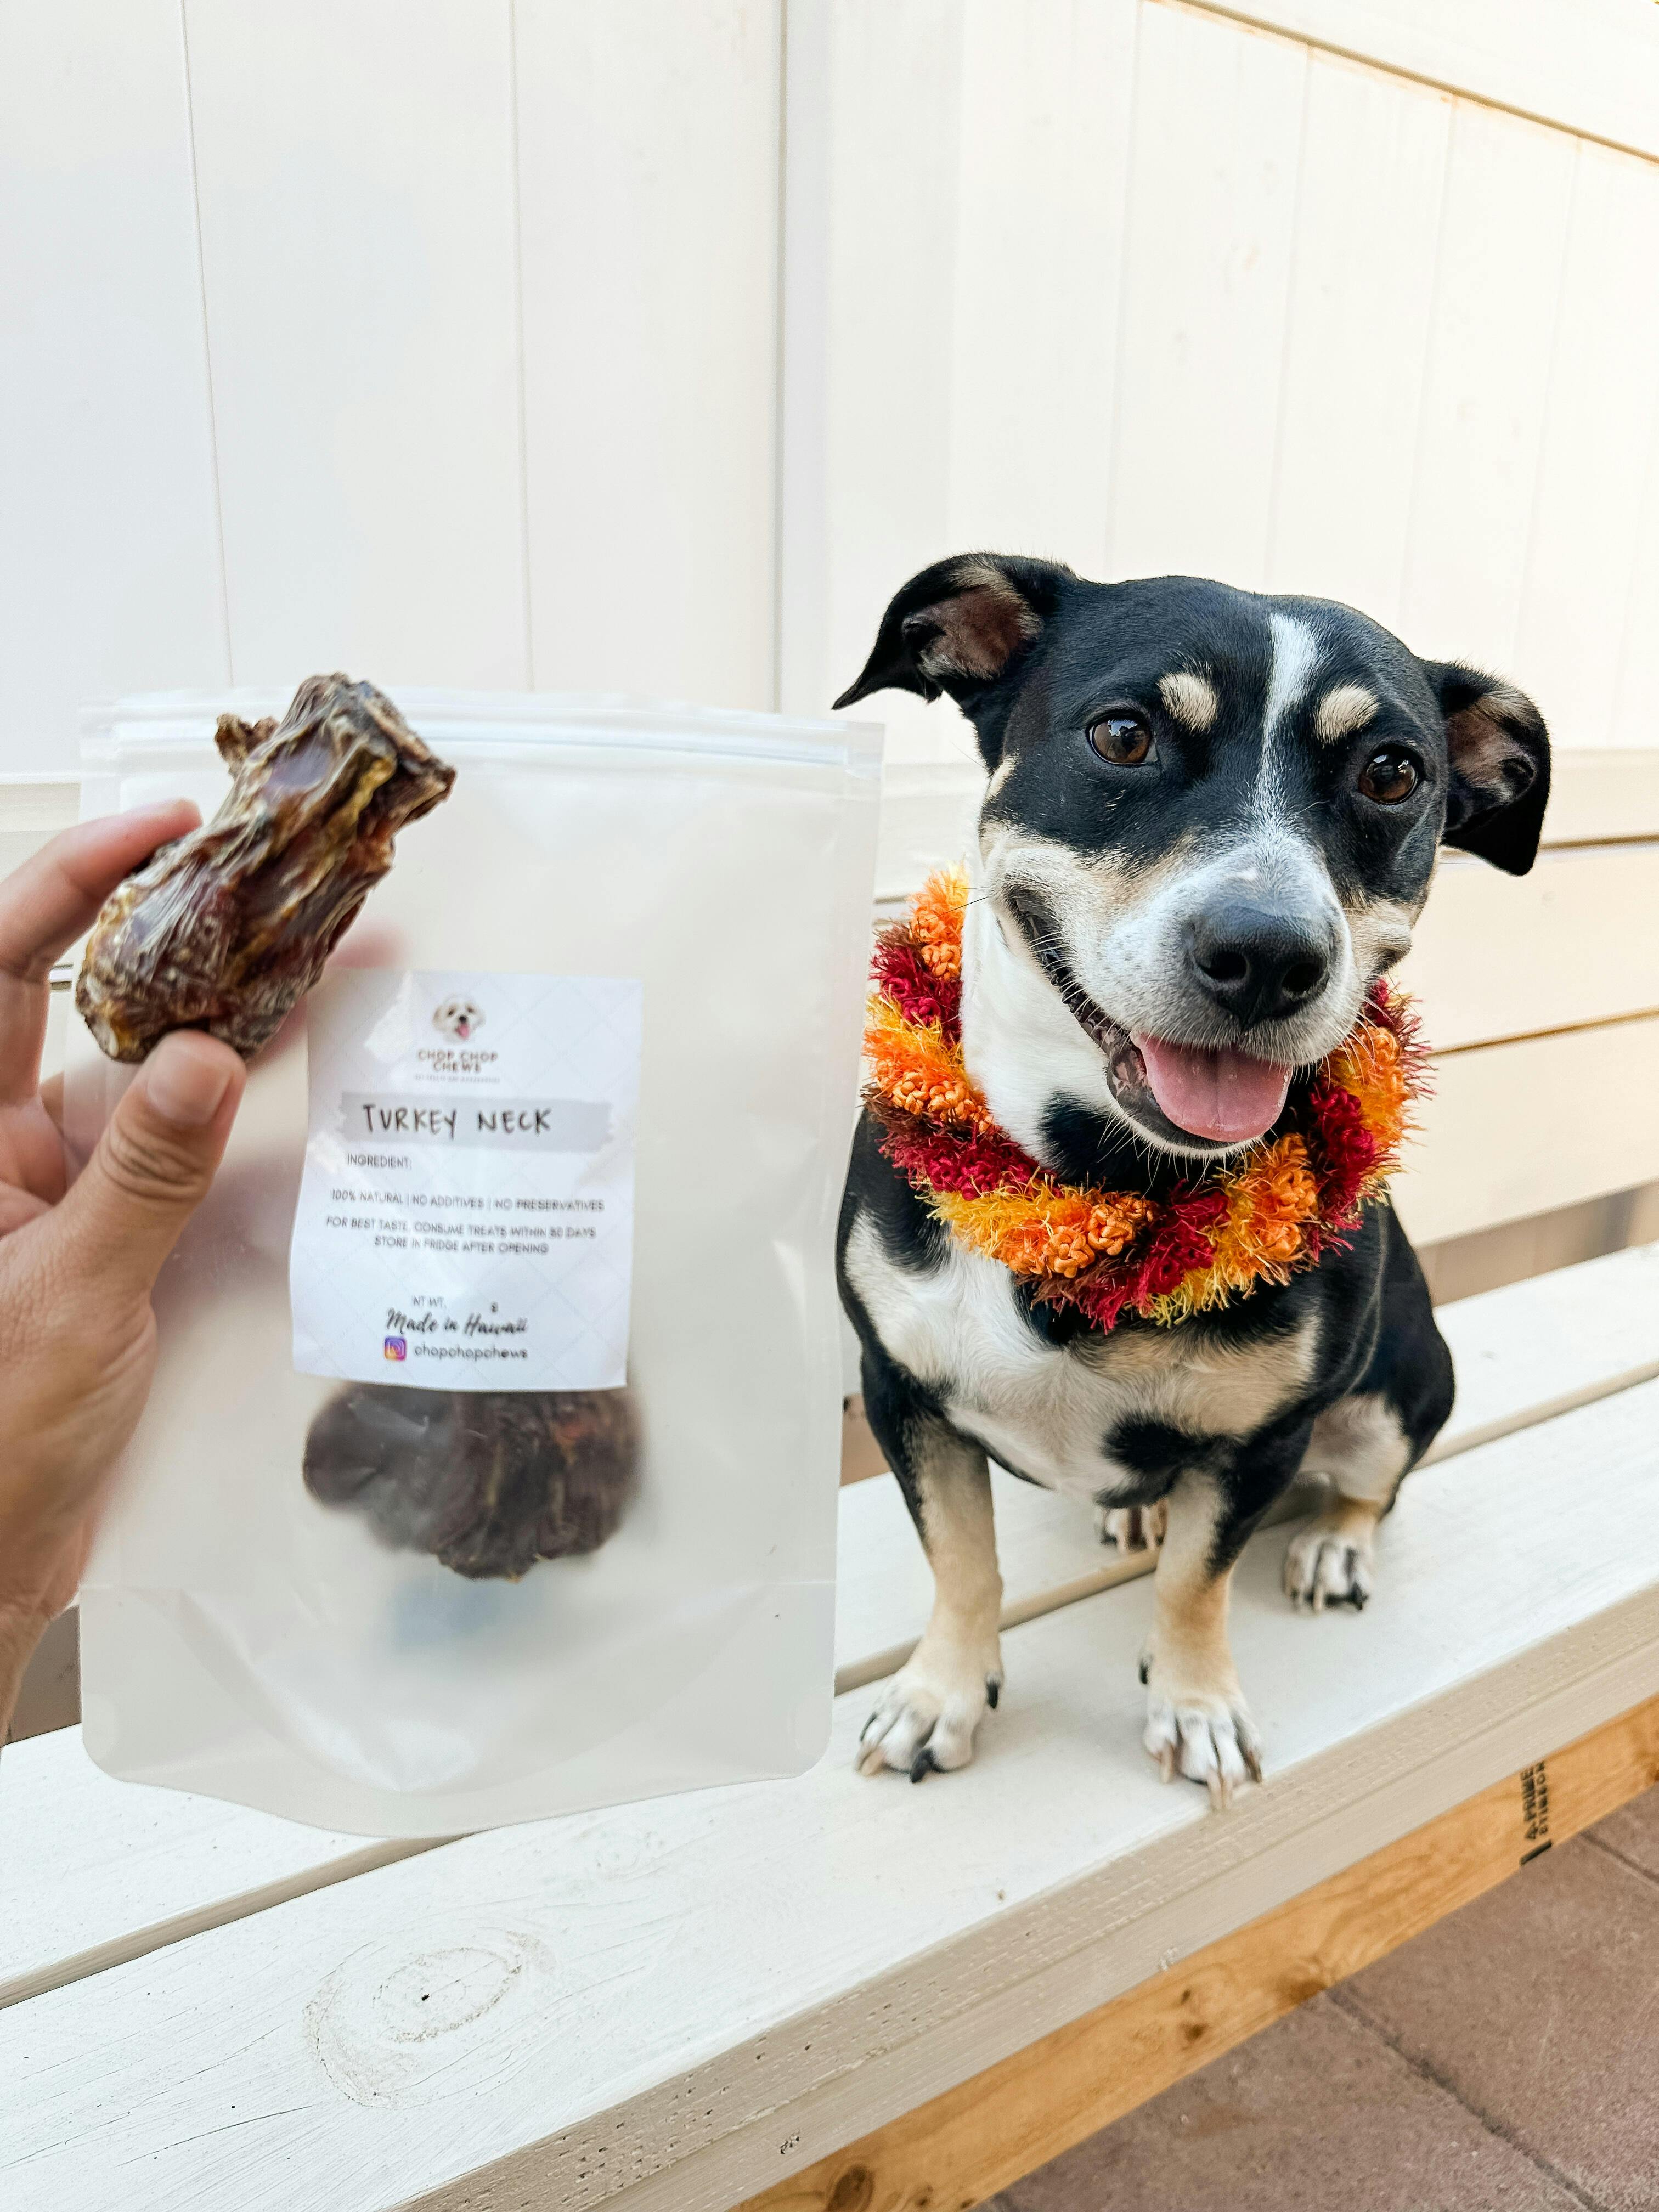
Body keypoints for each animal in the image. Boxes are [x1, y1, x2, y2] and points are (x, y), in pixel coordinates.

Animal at [834, 555, 1549, 1805]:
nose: (1265, 954)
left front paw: (1196, 1704)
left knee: (1372, 1481)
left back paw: (1331, 1543)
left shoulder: (1261, 1438)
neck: (1105, 1173)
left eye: (1392, 773)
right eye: (1122, 735)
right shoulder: (904, 1392)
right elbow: (962, 1559)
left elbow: (1196, 1584)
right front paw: (939, 1696)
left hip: (1403, 1389)